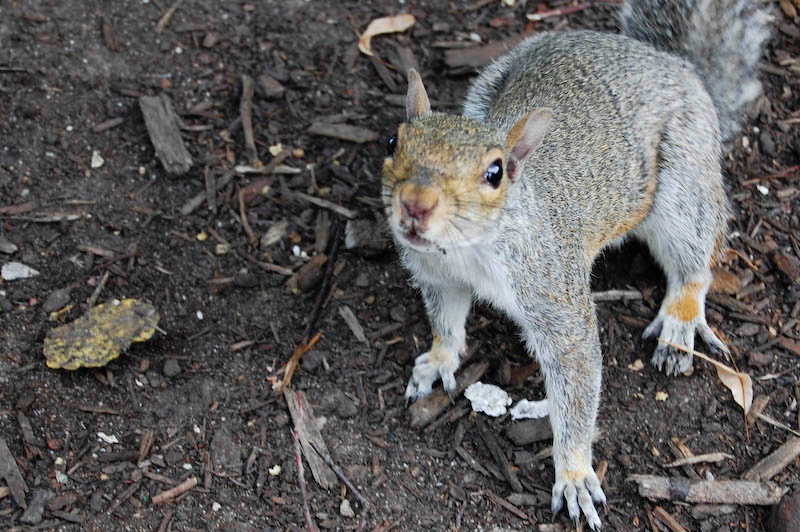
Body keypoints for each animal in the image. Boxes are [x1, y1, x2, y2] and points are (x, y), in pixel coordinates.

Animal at [381, 0, 771, 528]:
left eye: (495, 172)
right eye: (392, 143)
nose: (415, 205)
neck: (469, 249)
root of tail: (674, 63)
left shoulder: (554, 294)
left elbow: (577, 381)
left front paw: (574, 473)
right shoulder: (439, 277)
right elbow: (447, 322)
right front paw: (440, 358)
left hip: (683, 182)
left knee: (694, 259)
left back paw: (681, 318)